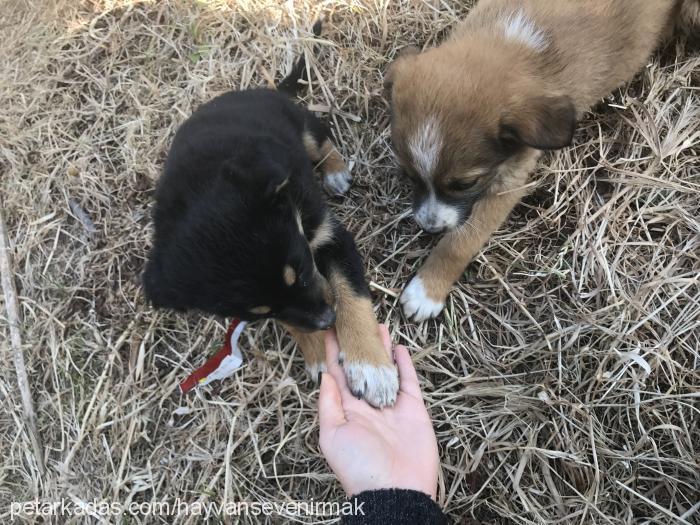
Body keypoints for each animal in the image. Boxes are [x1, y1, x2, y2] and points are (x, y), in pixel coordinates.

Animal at [144, 27, 396, 406]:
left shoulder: (332, 236)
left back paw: (336, 172)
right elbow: (294, 321)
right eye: (261, 313)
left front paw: (372, 368)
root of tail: (258, 90)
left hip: (302, 123)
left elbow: (352, 295)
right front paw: (317, 351)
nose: (327, 320)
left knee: (321, 139)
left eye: (302, 269)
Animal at [386, 0, 696, 322]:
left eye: (465, 183)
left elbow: (460, 242)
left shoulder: (508, 183)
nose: (429, 228)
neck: (511, 39)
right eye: (408, 175)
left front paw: (426, 290)